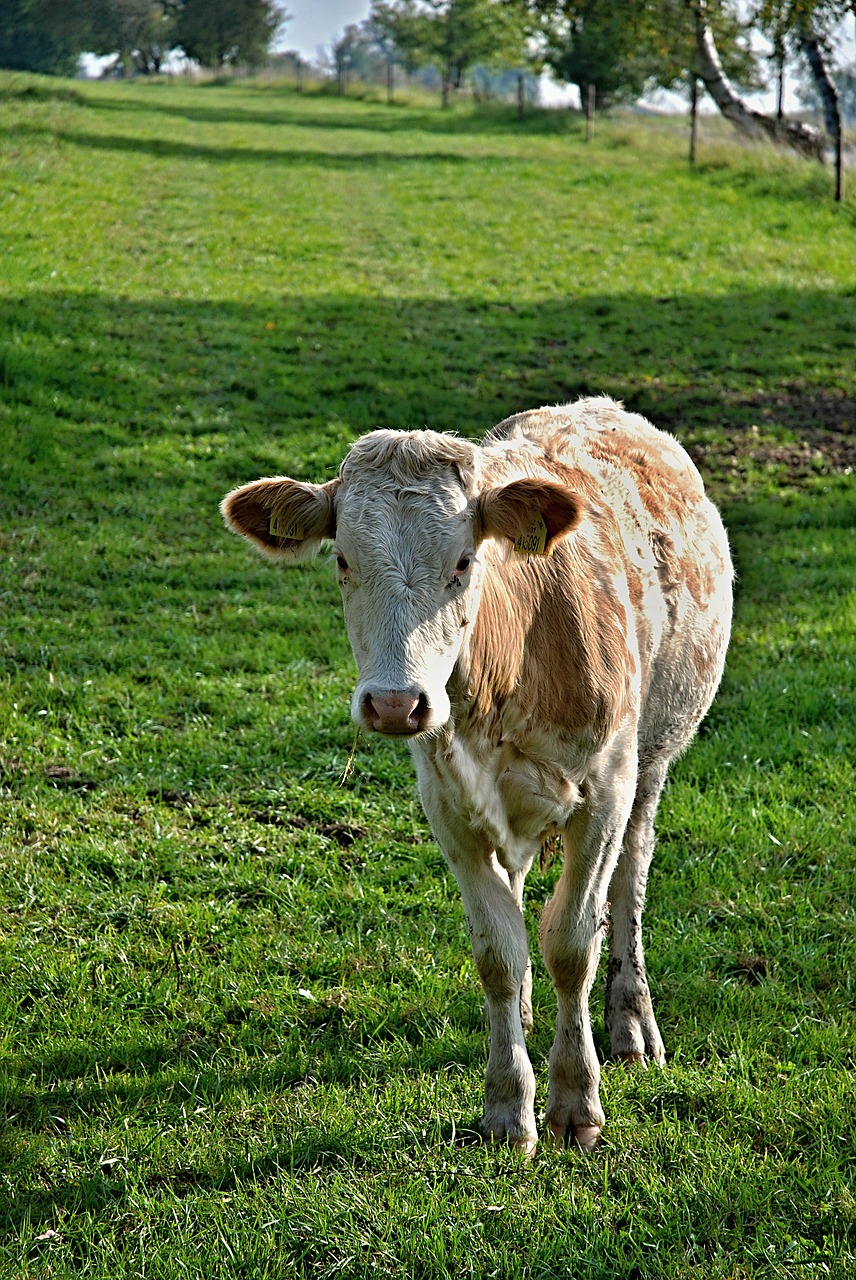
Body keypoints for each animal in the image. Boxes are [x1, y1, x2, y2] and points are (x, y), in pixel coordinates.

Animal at [223, 394, 731, 1157]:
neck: (512, 664)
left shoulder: (604, 794)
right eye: (342, 560)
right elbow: (499, 950)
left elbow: (573, 943)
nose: (395, 703)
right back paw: (522, 1015)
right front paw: (507, 1104)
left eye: (465, 560)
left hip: (654, 760)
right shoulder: (450, 808)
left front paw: (575, 1101)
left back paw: (632, 1022)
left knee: (630, 882)